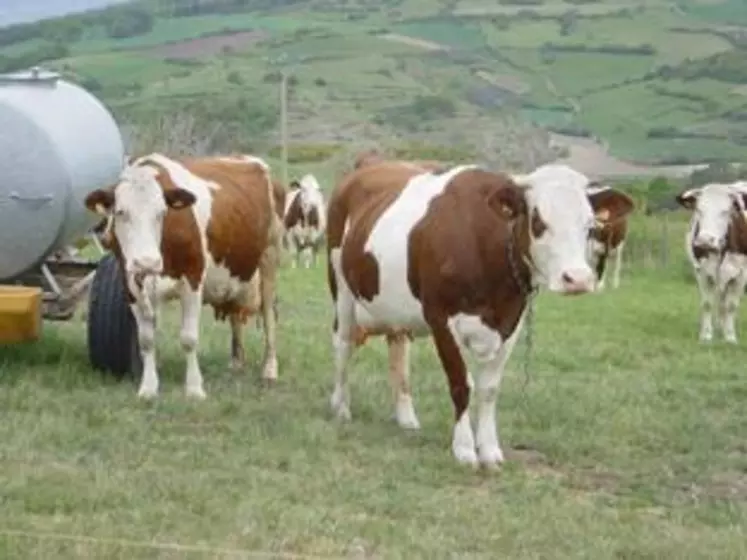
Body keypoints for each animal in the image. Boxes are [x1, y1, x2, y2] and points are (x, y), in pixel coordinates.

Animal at [83, 153, 284, 398]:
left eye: (162, 213)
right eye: (121, 212)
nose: (147, 262)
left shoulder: (193, 278)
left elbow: (189, 338)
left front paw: (194, 389)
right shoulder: (129, 282)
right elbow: (146, 340)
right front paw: (148, 388)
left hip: (269, 259)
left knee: (269, 316)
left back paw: (270, 370)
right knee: (235, 314)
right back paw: (237, 362)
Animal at [324, 160, 636, 466]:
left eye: (590, 226)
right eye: (538, 222)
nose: (578, 279)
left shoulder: (511, 323)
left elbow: (489, 389)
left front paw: (489, 449)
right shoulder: (441, 318)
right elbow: (461, 383)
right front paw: (463, 448)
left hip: (394, 308)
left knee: (398, 350)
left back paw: (406, 418)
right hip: (341, 287)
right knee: (342, 344)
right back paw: (340, 406)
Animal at [676, 182, 747, 344]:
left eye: (725, 211)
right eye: (699, 210)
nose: (705, 240)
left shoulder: (741, 274)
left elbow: (731, 305)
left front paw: (730, 336)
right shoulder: (702, 272)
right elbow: (707, 304)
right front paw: (707, 336)